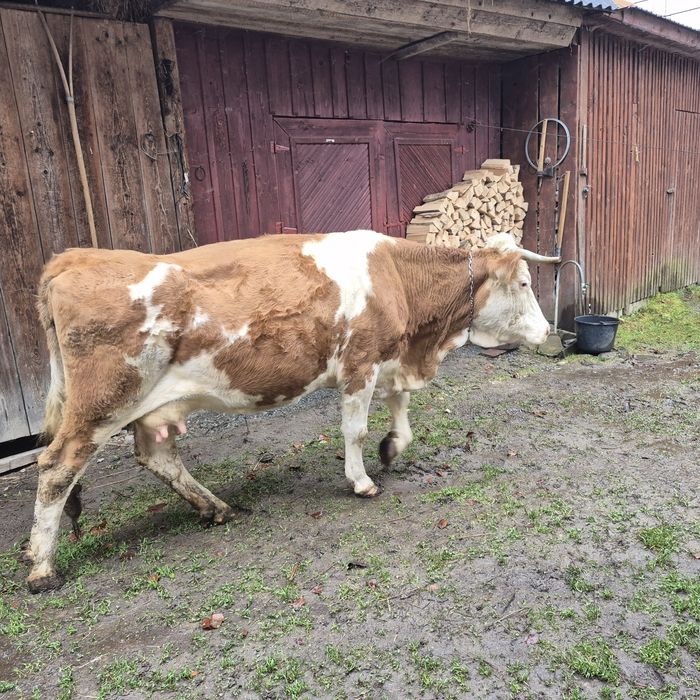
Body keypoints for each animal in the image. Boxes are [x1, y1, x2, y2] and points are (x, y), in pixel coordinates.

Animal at [24, 230, 558, 592]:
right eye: (525, 282)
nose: (547, 331)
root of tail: (76, 258)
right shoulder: (360, 363)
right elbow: (355, 430)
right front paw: (361, 479)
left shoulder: (390, 359)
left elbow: (400, 409)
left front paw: (392, 448)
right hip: (103, 401)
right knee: (56, 466)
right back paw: (42, 566)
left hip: (150, 406)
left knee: (157, 457)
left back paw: (215, 507)